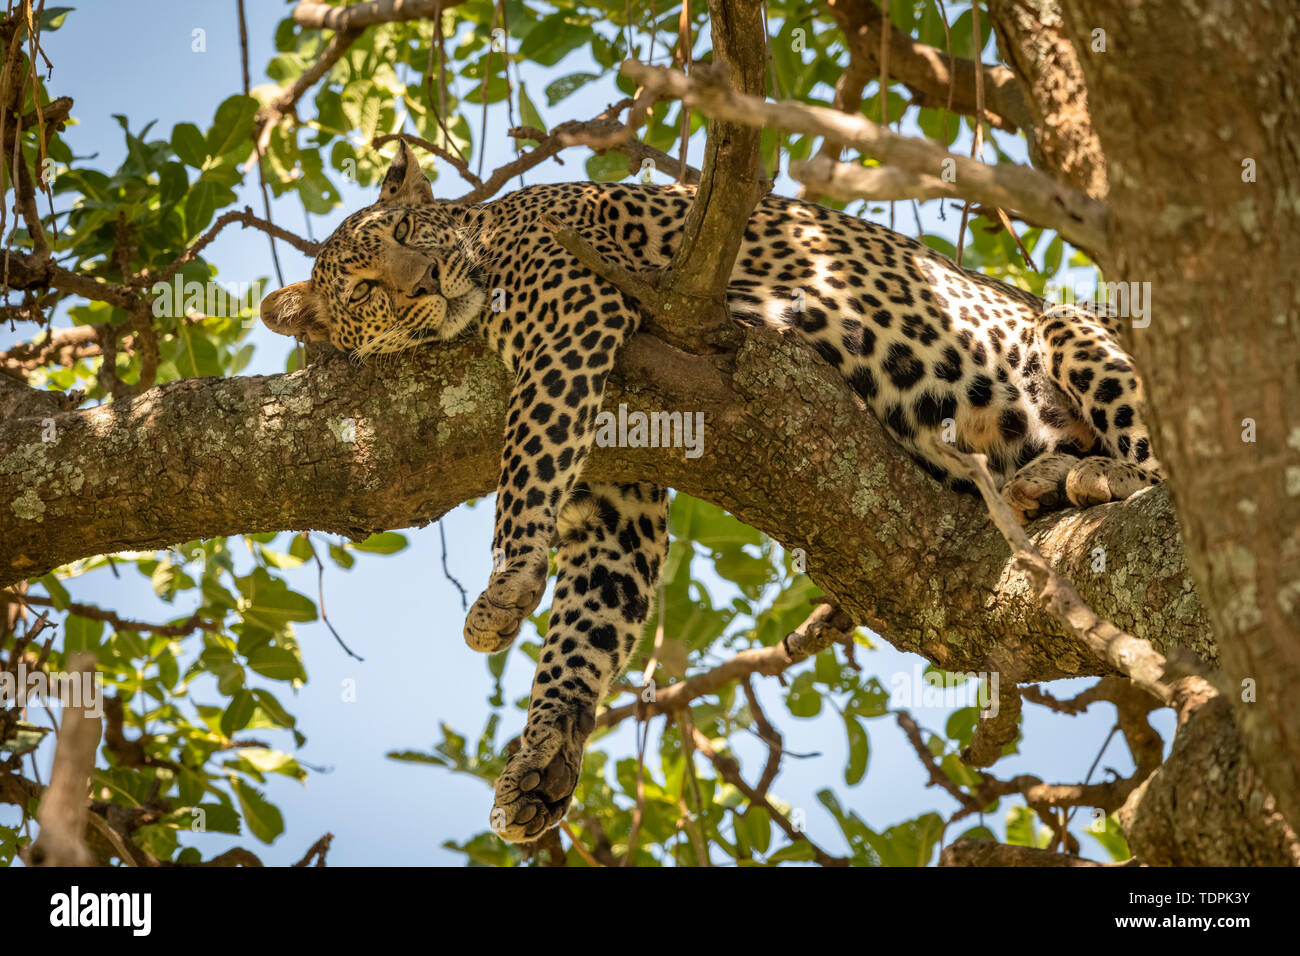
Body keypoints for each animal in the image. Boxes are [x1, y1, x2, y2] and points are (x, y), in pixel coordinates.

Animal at [258, 140, 1164, 842]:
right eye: (364, 288)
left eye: (411, 231)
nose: (424, 281)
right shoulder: (615, 494)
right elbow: (589, 621)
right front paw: (543, 753)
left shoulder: (572, 311)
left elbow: (526, 455)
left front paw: (505, 583)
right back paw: (1043, 484)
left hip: (1073, 328)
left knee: (1160, 469)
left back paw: (1105, 477)